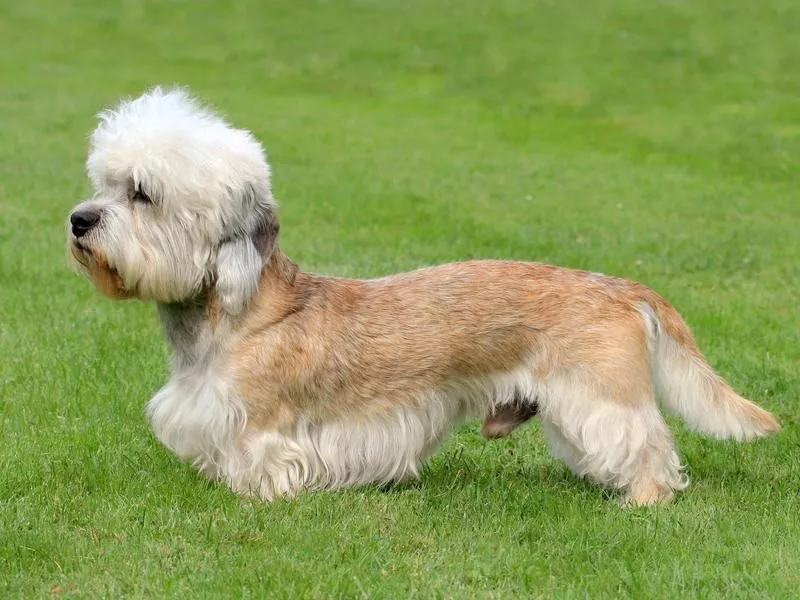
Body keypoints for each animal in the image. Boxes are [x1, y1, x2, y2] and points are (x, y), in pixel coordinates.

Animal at [69, 86, 780, 504]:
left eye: (142, 193)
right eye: (103, 184)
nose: (79, 221)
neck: (232, 316)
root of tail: (621, 287)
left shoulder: (264, 426)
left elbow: (263, 462)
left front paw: (257, 495)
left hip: (603, 397)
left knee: (647, 444)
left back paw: (645, 499)